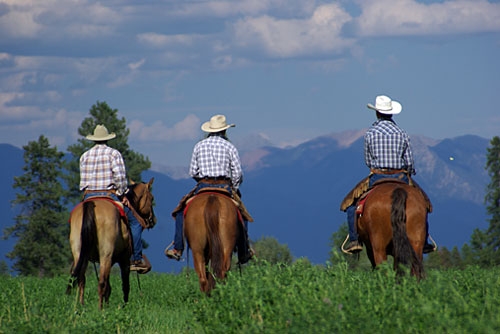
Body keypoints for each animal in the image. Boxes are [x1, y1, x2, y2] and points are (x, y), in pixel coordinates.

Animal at [66, 179, 155, 310]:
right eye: (151, 198)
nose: (153, 220)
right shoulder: (124, 260)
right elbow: (125, 285)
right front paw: (124, 306)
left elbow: (109, 286)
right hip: (105, 255)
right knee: (101, 283)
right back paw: (100, 309)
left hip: (80, 254)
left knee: (81, 279)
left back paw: (80, 307)